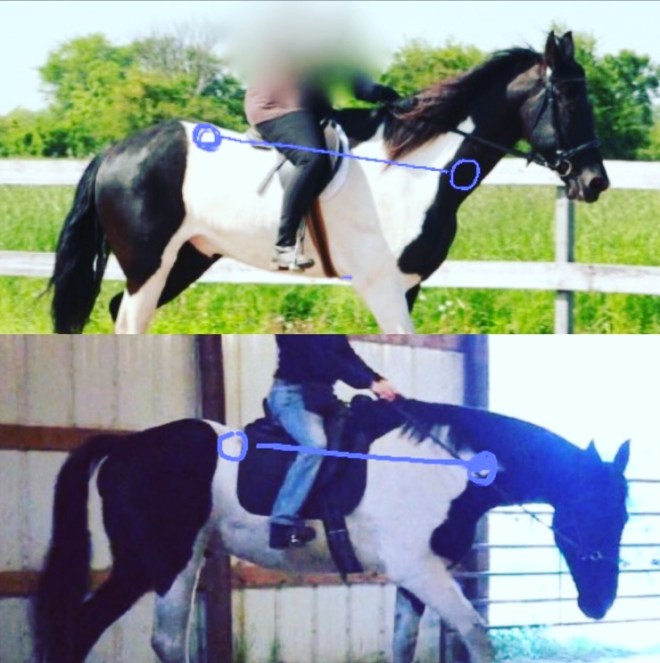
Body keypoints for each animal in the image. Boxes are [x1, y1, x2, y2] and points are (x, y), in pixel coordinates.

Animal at [35, 398, 629, 663]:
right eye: (597, 510)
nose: (599, 604)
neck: (450, 466)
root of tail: (124, 447)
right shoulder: (424, 573)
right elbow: (479, 637)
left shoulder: (416, 579)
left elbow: (403, 646)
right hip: (162, 562)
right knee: (143, 637)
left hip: (160, 562)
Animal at [49, 31, 609, 334]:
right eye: (569, 101)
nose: (595, 182)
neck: (414, 170)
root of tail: (116, 150)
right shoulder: (383, 288)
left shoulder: (408, 288)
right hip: (150, 262)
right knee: (129, 318)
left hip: (189, 257)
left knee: (121, 312)